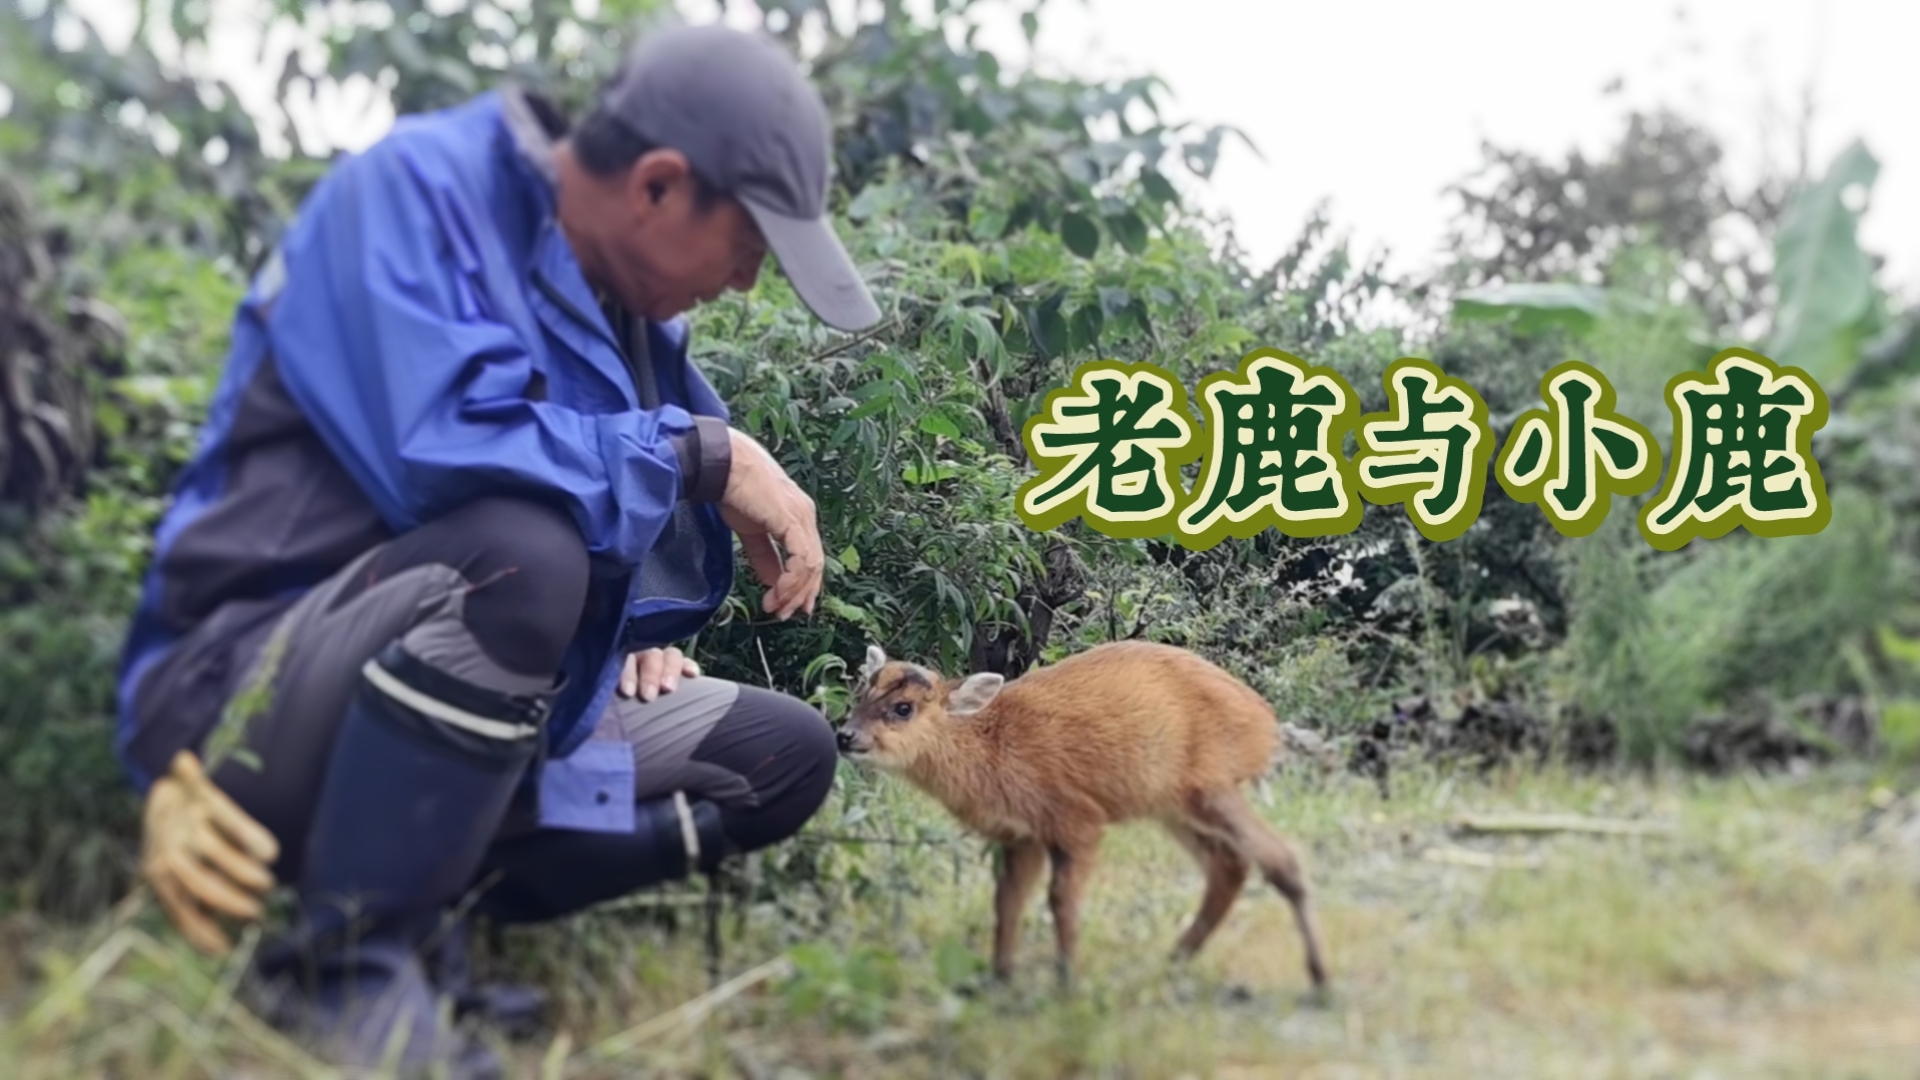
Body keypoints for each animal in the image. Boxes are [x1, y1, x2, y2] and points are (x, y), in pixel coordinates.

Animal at [835, 640, 1329, 992]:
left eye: (903, 708)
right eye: (863, 692)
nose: (844, 735)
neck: (992, 751)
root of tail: (1265, 723)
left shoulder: (1077, 819)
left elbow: (1061, 902)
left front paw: (1066, 983)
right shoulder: (1022, 835)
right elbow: (1007, 902)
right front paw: (999, 980)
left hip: (1211, 787)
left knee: (1280, 859)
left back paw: (1320, 980)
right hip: (1175, 805)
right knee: (1230, 866)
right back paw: (1171, 964)